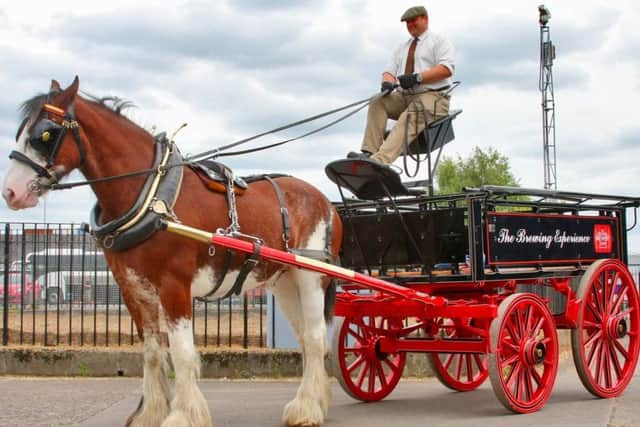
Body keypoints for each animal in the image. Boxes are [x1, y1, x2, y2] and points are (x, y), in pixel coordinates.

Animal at [2, 77, 343, 427]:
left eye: (45, 134)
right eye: (19, 133)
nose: (11, 192)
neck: (151, 197)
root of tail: (326, 202)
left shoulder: (174, 287)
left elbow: (182, 353)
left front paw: (183, 414)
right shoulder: (133, 289)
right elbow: (152, 352)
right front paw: (150, 412)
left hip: (311, 278)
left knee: (315, 338)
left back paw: (307, 408)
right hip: (283, 282)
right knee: (305, 338)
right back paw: (314, 400)